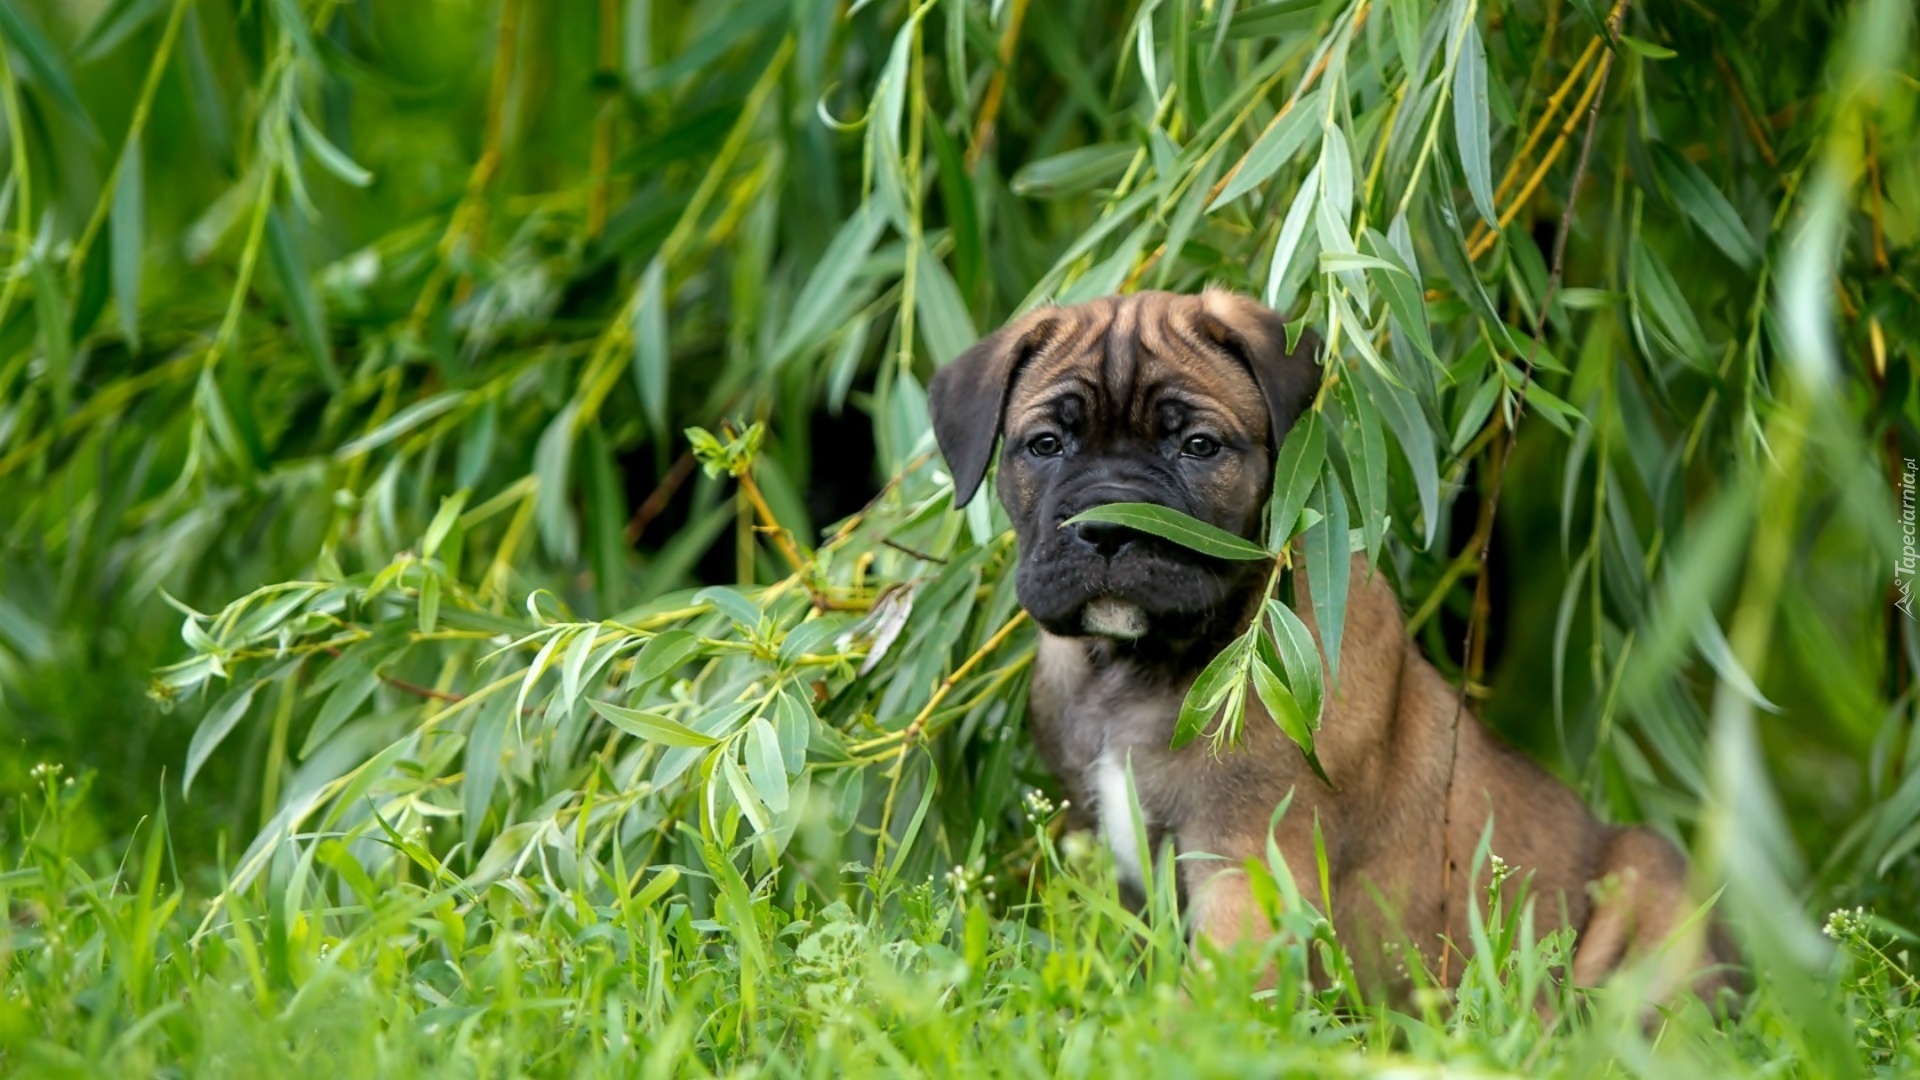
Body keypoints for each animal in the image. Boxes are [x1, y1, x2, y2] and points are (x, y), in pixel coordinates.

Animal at [921, 288, 1735, 999]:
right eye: (1045, 445)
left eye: (1199, 446)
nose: (1109, 527)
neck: (1140, 667)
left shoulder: (1246, 860)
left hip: (1649, 875)